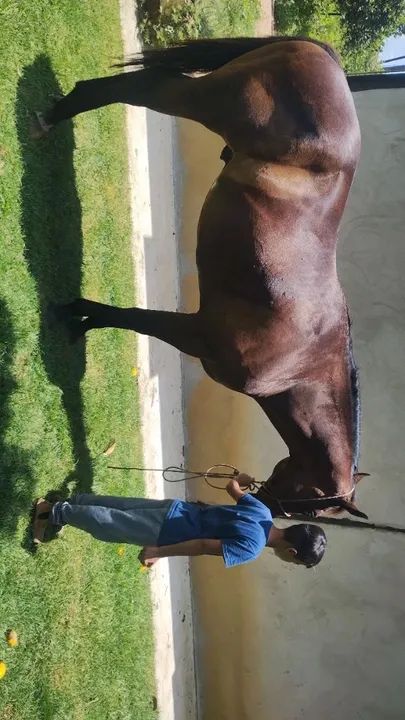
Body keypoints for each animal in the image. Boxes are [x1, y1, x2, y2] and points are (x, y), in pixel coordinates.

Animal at [37, 35, 371, 520]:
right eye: (308, 508)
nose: (256, 506)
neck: (301, 364)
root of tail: (321, 54)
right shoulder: (194, 333)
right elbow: (133, 318)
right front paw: (74, 314)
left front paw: (79, 319)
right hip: (204, 100)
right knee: (142, 87)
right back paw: (52, 118)